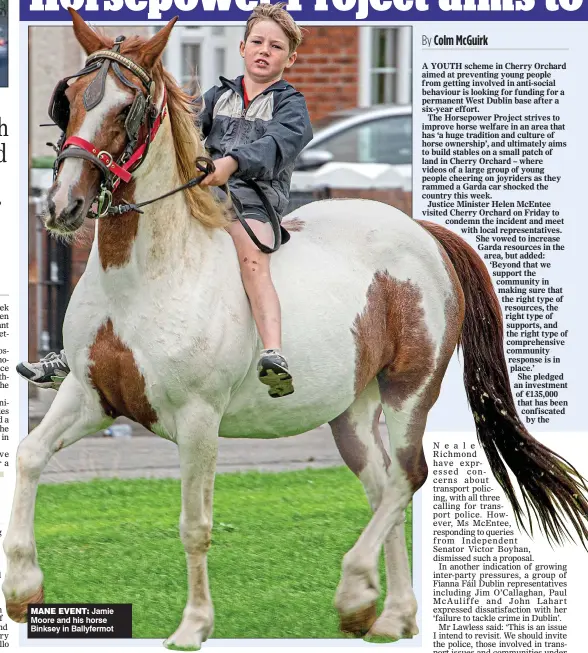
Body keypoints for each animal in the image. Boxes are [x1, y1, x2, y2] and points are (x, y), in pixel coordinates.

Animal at [4, 10, 588, 648]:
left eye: (127, 107)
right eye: (70, 99)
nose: (62, 205)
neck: (143, 279)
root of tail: (422, 232)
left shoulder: (198, 421)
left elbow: (194, 524)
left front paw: (194, 624)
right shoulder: (91, 398)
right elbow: (29, 456)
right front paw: (23, 590)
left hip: (409, 390)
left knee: (408, 476)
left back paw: (357, 590)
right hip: (352, 411)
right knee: (383, 484)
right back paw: (394, 613)